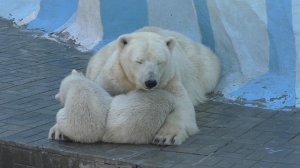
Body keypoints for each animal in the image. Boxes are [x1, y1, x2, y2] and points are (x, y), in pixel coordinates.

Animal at [86, 26, 220, 145]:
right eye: (139, 61)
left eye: (160, 62)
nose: (150, 82)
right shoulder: (114, 79)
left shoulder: (169, 80)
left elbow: (183, 106)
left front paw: (166, 137)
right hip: (97, 60)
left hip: (199, 65)